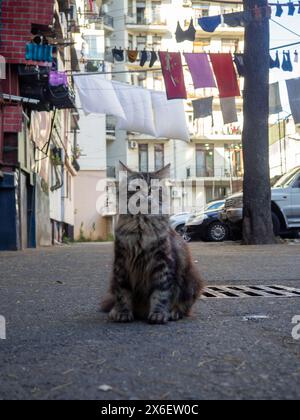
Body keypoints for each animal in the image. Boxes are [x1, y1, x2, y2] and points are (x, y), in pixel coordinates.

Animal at [101, 162, 204, 324]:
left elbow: (160, 293)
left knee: (185, 307)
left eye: (153, 188)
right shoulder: (121, 262)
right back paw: (114, 311)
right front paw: (123, 312)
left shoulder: (163, 261)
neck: (140, 227)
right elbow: (122, 293)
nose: (145, 194)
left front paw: (158, 314)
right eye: (137, 187)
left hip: (191, 280)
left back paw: (174, 313)